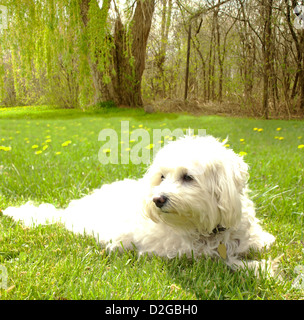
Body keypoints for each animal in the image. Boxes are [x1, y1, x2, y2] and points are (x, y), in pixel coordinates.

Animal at [2, 136, 276, 276]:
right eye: (162, 177)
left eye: (188, 177)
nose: (158, 199)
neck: (209, 229)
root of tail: (69, 212)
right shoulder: (186, 254)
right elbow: (223, 261)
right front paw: (260, 267)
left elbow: (253, 240)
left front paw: (261, 243)